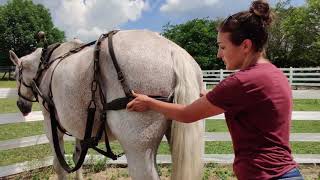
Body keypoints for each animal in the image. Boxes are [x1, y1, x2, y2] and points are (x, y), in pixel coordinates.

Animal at [10, 30, 205, 179]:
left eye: (16, 76)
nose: (21, 105)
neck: (47, 66)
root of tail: (173, 51)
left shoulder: (51, 123)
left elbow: (59, 165)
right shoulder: (82, 129)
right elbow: (78, 157)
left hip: (138, 148)